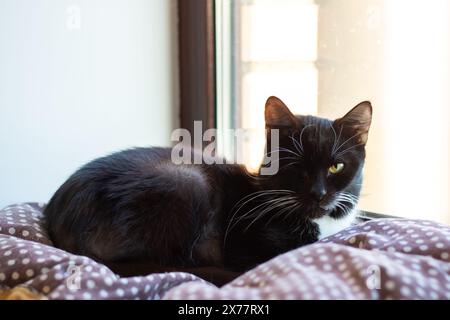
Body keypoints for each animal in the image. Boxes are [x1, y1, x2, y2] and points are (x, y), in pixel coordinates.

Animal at [43, 96, 372, 286]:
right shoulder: (243, 245)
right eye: (296, 166)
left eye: (336, 167)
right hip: (187, 182)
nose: (318, 193)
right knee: (175, 264)